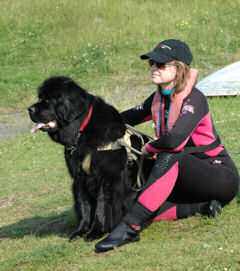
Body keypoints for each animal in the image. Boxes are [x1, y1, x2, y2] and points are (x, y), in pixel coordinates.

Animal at [28, 76, 148, 242]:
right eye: (39, 97)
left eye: (47, 100)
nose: (29, 109)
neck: (81, 130)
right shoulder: (80, 178)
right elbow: (84, 206)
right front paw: (81, 231)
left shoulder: (106, 178)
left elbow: (101, 206)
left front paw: (95, 232)